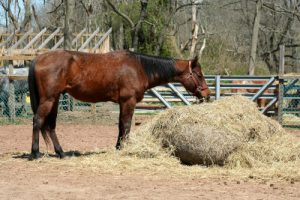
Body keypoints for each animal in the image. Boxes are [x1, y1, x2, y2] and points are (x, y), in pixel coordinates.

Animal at [28, 49, 211, 159]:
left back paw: (61, 152)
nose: (207, 94)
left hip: (55, 100)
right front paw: (125, 148)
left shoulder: (123, 103)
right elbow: (127, 125)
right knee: (38, 121)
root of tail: (38, 58)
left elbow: (121, 126)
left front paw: (118, 147)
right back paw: (35, 153)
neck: (140, 68)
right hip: (48, 99)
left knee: (50, 125)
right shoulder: (128, 101)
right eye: (199, 75)